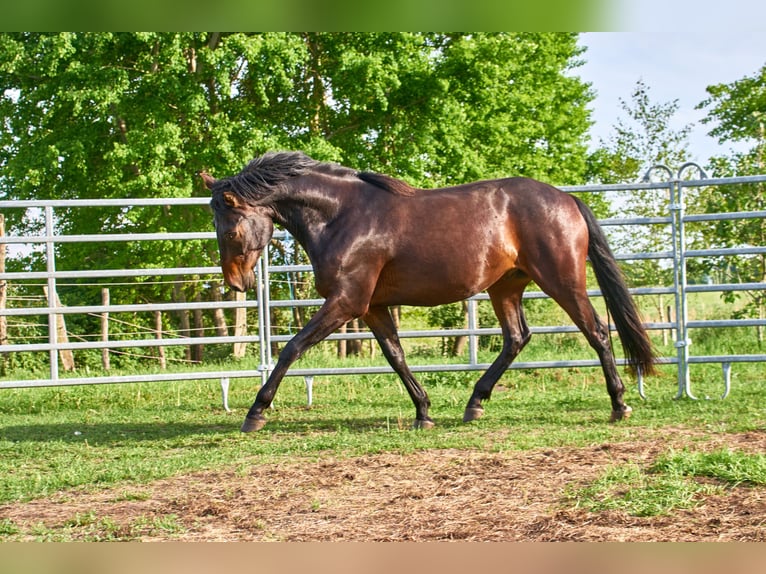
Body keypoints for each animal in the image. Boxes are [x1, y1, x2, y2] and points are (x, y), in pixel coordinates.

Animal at [201, 151, 656, 432]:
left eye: (231, 229)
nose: (237, 283)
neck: (342, 217)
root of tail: (567, 199)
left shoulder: (347, 302)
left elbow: (292, 349)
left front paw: (256, 412)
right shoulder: (372, 307)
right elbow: (396, 356)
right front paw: (423, 412)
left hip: (561, 280)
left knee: (597, 331)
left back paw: (619, 404)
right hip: (506, 287)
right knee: (516, 338)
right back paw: (475, 402)